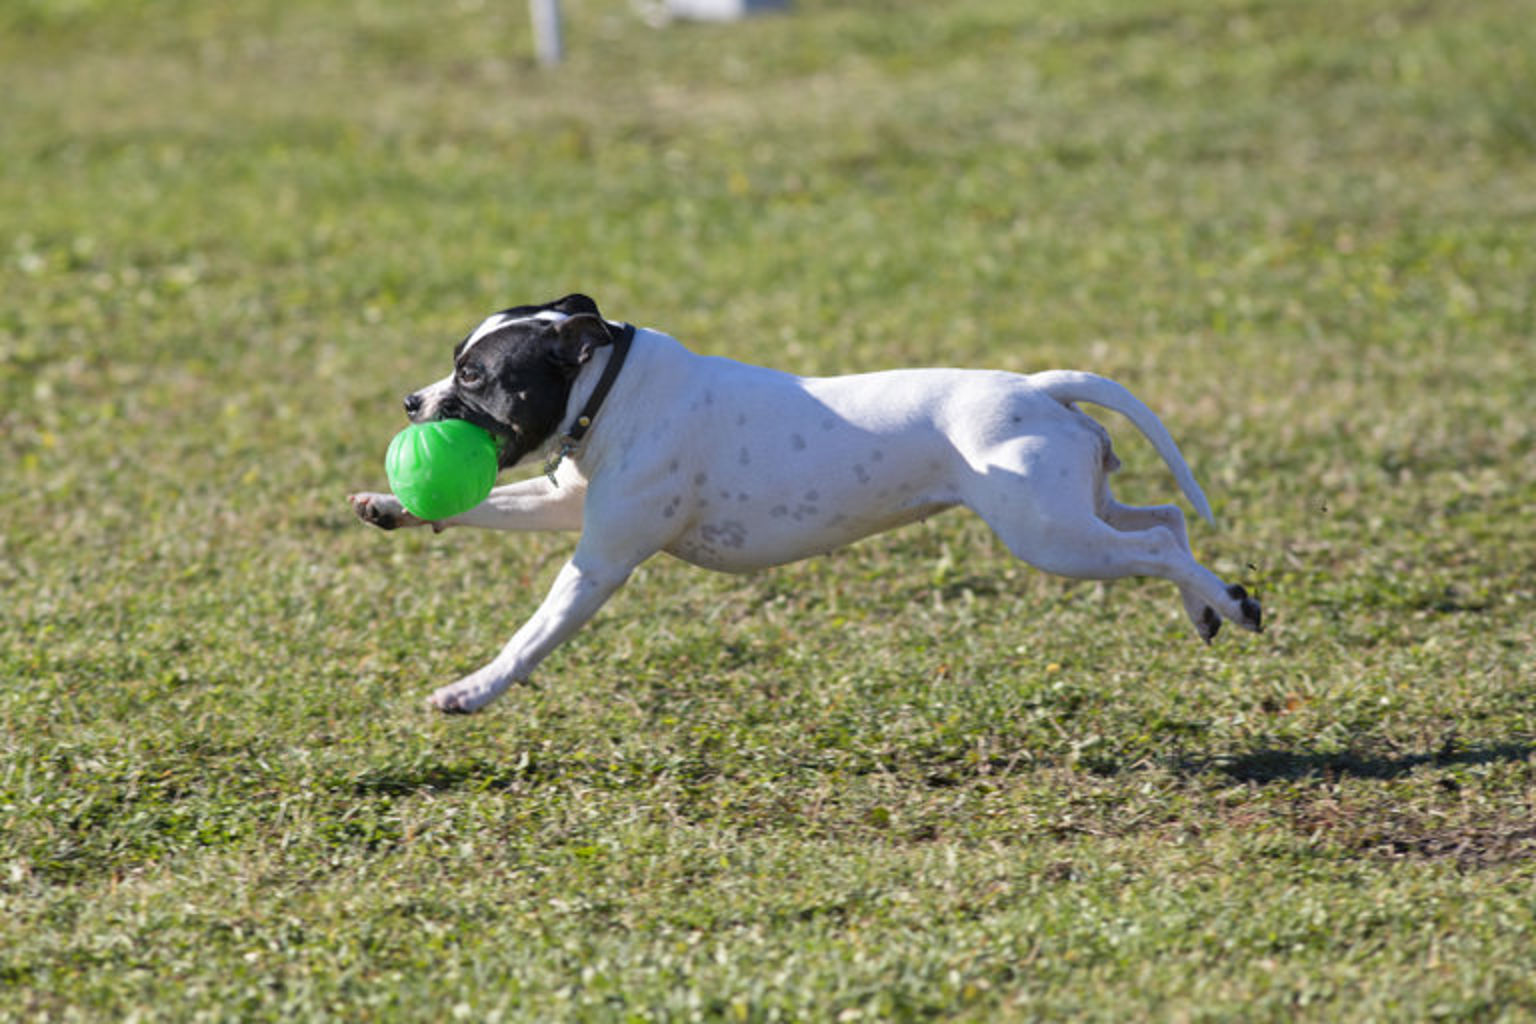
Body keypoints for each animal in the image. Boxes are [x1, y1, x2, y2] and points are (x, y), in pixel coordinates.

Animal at [348, 294, 1259, 712]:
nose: (410, 401)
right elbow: (482, 505)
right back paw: (1212, 604)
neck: (607, 388)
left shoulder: (597, 562)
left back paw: (1230, 603)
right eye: (456, 360)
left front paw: (471, 691)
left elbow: (531, 636)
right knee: (1166, 522)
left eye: (476, 376)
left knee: (1157, 547)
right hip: (1072, 512)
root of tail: (1040, 389)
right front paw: (390, 505)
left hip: (1051, 537)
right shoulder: (561, 503)